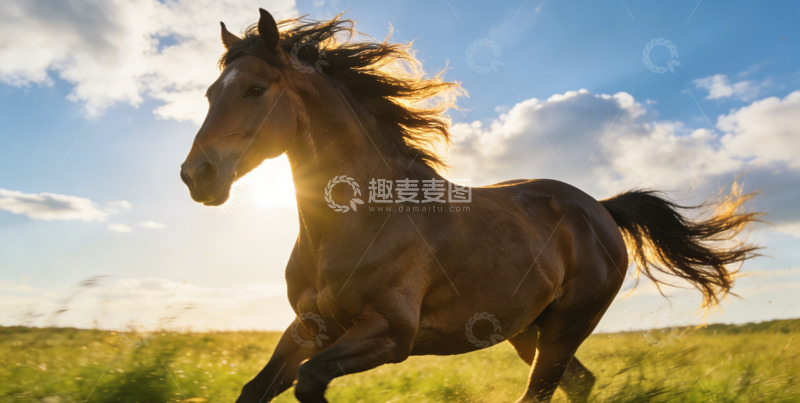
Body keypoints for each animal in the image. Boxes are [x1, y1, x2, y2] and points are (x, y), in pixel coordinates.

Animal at [179, 9, 759, 402]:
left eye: (256, 89)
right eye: (210, 93)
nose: (196, 176)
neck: (364, 219)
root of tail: (598, 208)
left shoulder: (390, 333)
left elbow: (309, 380)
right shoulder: (308, 325)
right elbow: (256, 389)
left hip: (567, 325)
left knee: (543, 390)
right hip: (528, 330)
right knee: (579, 382)